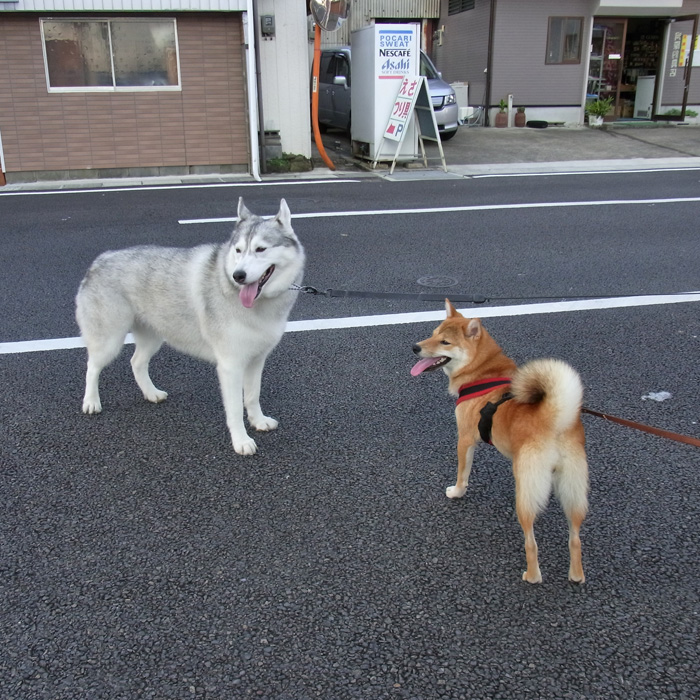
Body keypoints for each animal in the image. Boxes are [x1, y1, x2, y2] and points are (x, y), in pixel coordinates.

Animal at [75, 197, 304, 454]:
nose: (238, 275)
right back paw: (91, 401)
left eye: (260, 249)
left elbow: (253, 396)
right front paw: (241, 441)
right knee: (92, 366)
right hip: (109, 341)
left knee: (136, 362)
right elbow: (235, 409)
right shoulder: (231, 366)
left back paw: (151, 393)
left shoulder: (256, 360)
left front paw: (258, 421)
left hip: (153, 337)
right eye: (238, 250)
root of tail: (100, 259)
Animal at [412, 304, 588, 584]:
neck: (482, 371)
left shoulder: (465, 439)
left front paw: (457, 492)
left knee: (531, 542)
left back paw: (532, 575)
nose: (415, 348)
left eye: (445, 342)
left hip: (525, 491)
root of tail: (554, 417)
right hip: (573, 490)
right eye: (433, 333)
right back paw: (576, 575)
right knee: (575, 538)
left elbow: (462, 474)